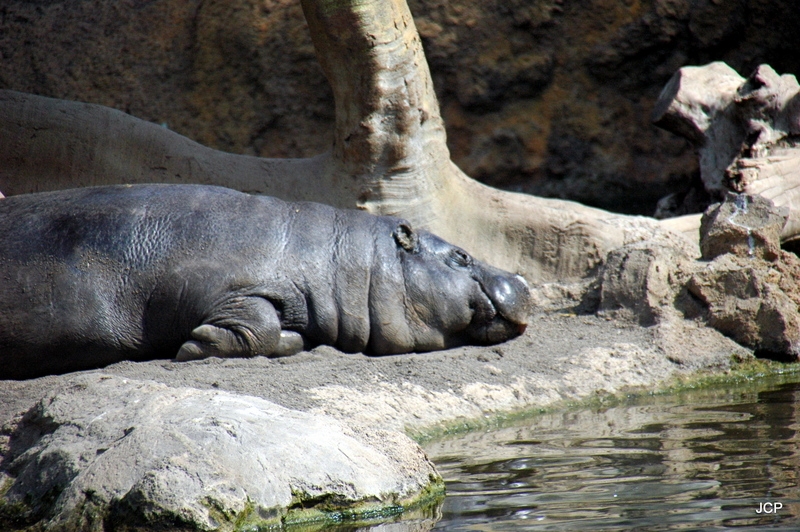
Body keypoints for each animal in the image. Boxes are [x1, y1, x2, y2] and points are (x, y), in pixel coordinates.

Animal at [3, 184, 536, 378]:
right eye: (461, 256)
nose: (522, 280)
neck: (346, 259)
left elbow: (283, 332)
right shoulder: (231, 287)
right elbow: (256, 324)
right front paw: (194, 347)